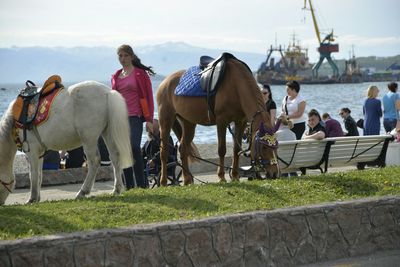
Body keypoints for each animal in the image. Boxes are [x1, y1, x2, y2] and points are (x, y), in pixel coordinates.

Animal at [0, 81, 133, 205]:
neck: (13, 121)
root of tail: (107, 92)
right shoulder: (39, 153)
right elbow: (39, 175)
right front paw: (37, 197)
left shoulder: (31, 150)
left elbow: (33, 175)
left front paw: (32, 199)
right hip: (107, 132)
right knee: (115, 156)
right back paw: (116, 190)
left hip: (88, 138)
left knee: (94, 161)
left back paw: (83, 191)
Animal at [156, 56, 278, 186]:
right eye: (264, 147)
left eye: (276, 147)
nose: (274, 173)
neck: (236, 85)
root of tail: (164, 82)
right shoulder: (221, 121)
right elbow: (222, 149)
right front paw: (221, 177)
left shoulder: (241, 122)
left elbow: (236, 149)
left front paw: (235, 176)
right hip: (166, 120)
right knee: (164, 151)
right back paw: (163, 181)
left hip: (189, 123)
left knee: (183, 149)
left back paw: (188, 180)